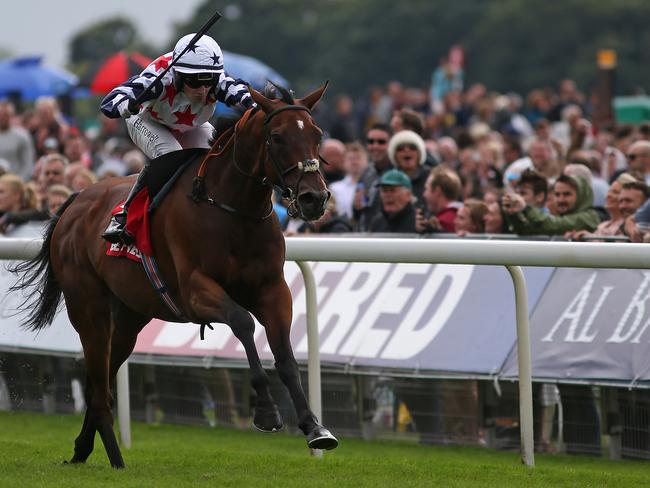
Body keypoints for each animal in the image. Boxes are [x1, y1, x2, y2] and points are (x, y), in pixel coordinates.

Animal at [12, 82, 336, 468]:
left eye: (317, 134)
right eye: (277, 137)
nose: (315, 198)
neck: (232, 209)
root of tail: (75, 202)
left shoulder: (273, 290)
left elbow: (285, 356)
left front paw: (315, 428)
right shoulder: (195, 291)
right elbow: (243, 323)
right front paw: (267, 412)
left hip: (129, 317)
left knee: (99, 383)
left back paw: (82, 451)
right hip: (88, 308)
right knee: (99, 387)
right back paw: (116, 460)